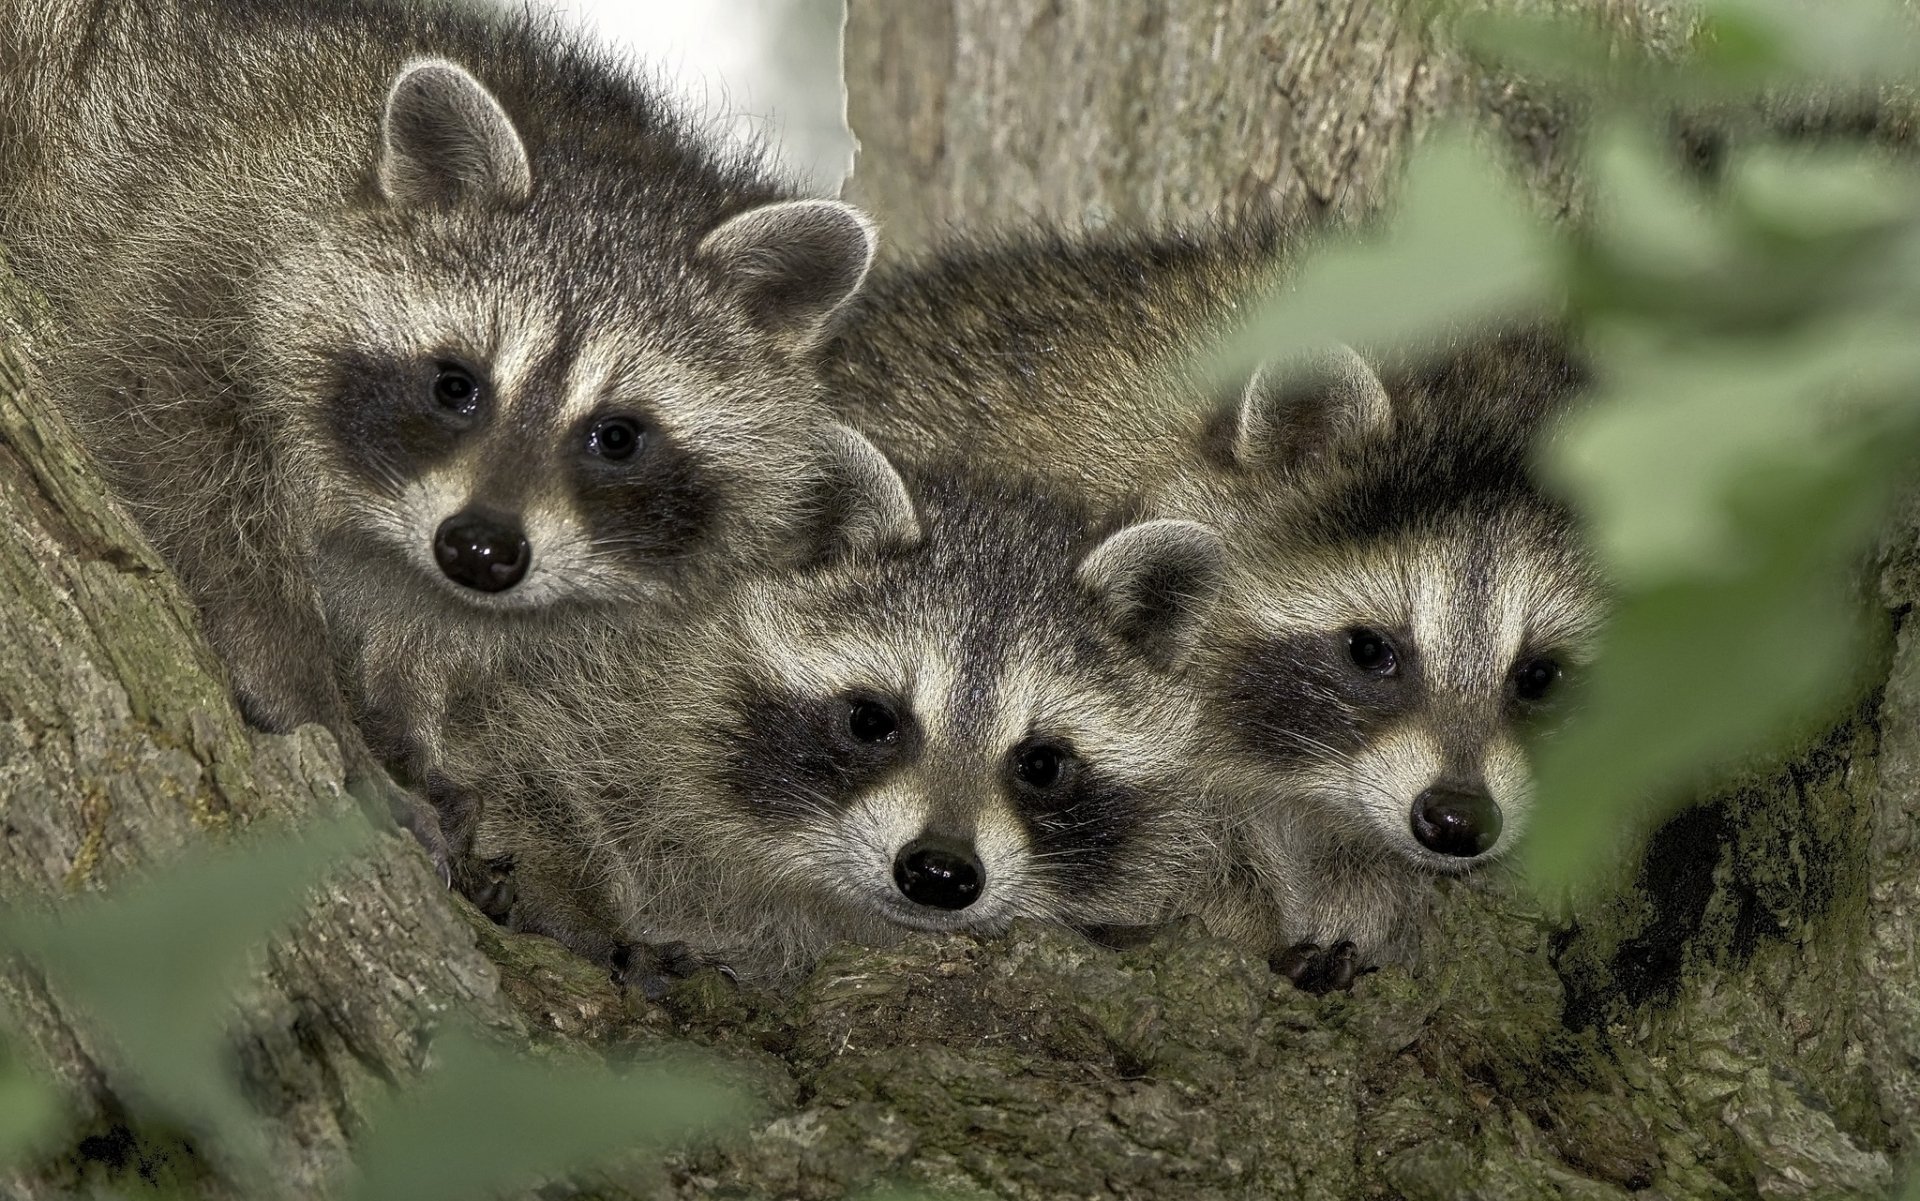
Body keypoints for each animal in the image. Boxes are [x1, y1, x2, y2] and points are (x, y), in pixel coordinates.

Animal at [0, 0, 876, 863]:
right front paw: (304, 687)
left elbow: (442, 627)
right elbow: (175, 432)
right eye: (457, 385)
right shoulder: (215, 233)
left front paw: (407, 709)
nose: (480, 550)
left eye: (618, 436)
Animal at [436, 427, 1226, 991]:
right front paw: (569, 885)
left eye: (1041, 763)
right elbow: (517, 733)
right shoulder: (602, 667)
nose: (939, 872)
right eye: (874, 720)